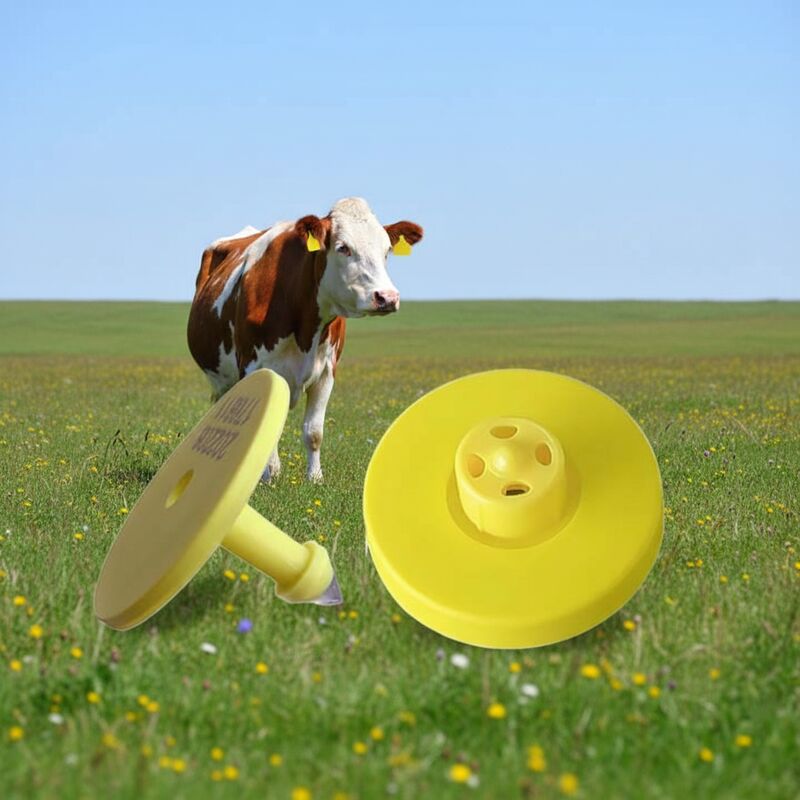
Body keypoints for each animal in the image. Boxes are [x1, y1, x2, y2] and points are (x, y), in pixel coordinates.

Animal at [187, 197, 424, 483]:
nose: (387, 297)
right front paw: (269, 476)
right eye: (343, 248)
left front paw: (315, 477)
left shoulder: (327, 372)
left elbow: (314, 431)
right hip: (221, 381)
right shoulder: (255, 368)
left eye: (387, 250)